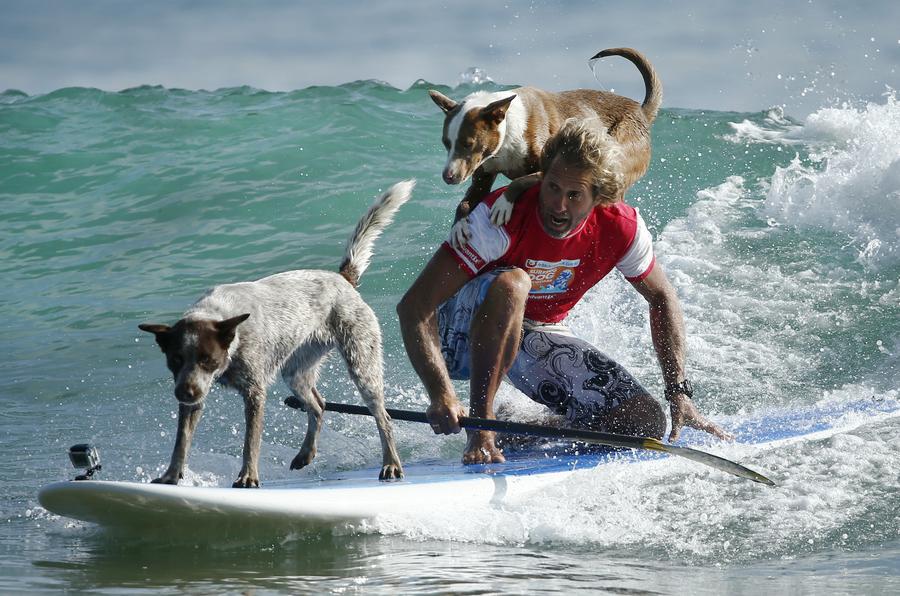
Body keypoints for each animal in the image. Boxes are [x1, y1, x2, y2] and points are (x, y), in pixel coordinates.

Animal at [138, 179, 414, 486]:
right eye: (175, 360)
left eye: (207, 359)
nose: (184, 393)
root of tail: (343, 278)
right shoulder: (196, 393)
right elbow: (181, 440)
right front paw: (171, 475)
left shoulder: (254, 392)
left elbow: (250, 441)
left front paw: (248, 476)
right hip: (296, 370)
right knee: (318, 405)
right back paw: (305, 454)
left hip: (362, 363)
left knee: (383, 417)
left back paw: (391, 463)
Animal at [428, 46, 660, 227]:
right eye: (446, 143)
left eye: (468, 144)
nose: (447, 177)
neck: (508, 134)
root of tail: (641, 111)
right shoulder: (483, 175)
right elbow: (466, 203)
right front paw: (459, 227)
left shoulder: (547, 170)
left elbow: (520, 180)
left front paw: (504, 202)